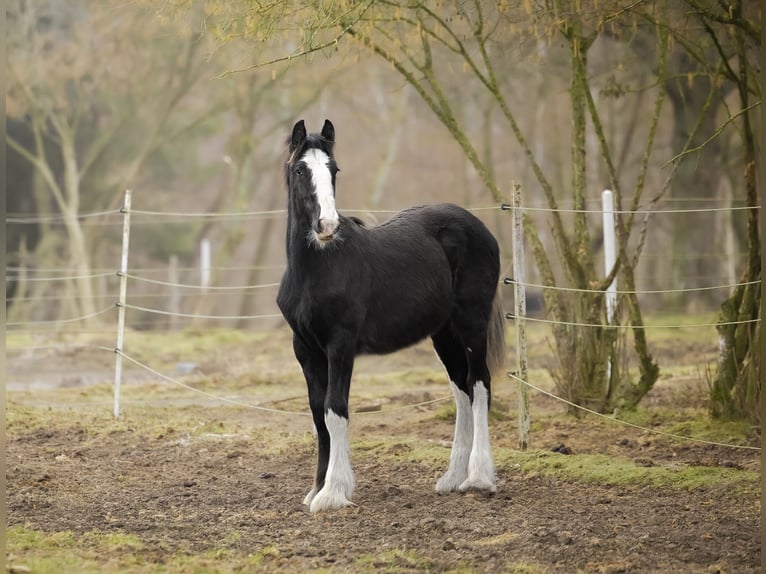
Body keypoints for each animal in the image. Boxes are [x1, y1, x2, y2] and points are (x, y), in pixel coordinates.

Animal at [276, 119, 505, 513]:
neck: (319, 267)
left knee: (479, 384)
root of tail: (479, 228)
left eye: (334, 169)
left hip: (472, 323)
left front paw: (334, 492)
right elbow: (318, 415)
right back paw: (452, 478)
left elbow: (335, 409)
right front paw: (317, 489)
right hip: (444, 333)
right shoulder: (304, 349)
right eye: (300, 170)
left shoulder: (340, 345)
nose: (327, 226)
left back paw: (478, 478)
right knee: (461, 389)